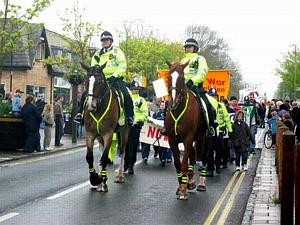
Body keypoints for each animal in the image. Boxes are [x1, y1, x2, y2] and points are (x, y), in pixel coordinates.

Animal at [81, 63, 129, 192]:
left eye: (100, 82)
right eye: (86, 81)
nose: (90, 106)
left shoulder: (108, 134)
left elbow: (104, 158)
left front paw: (101, 180)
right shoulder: (90, 133)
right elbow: (90, 157)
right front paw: (96, 179)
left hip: (124, 131)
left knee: (122, 151)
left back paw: (120, 176)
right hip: (99, 136)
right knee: (103, 151)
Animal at [164, 61, 213, 200]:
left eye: (182, 78)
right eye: (169, 77)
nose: (173, 102)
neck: (179, 109)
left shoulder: (187, 138)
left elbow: (184, 163)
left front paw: (183, 191)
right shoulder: (172, 139)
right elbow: (177, 163)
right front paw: (182, 185)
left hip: (206, 139)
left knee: (204, 158)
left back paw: (201, 184)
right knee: (192, 154)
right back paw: (190, 181)